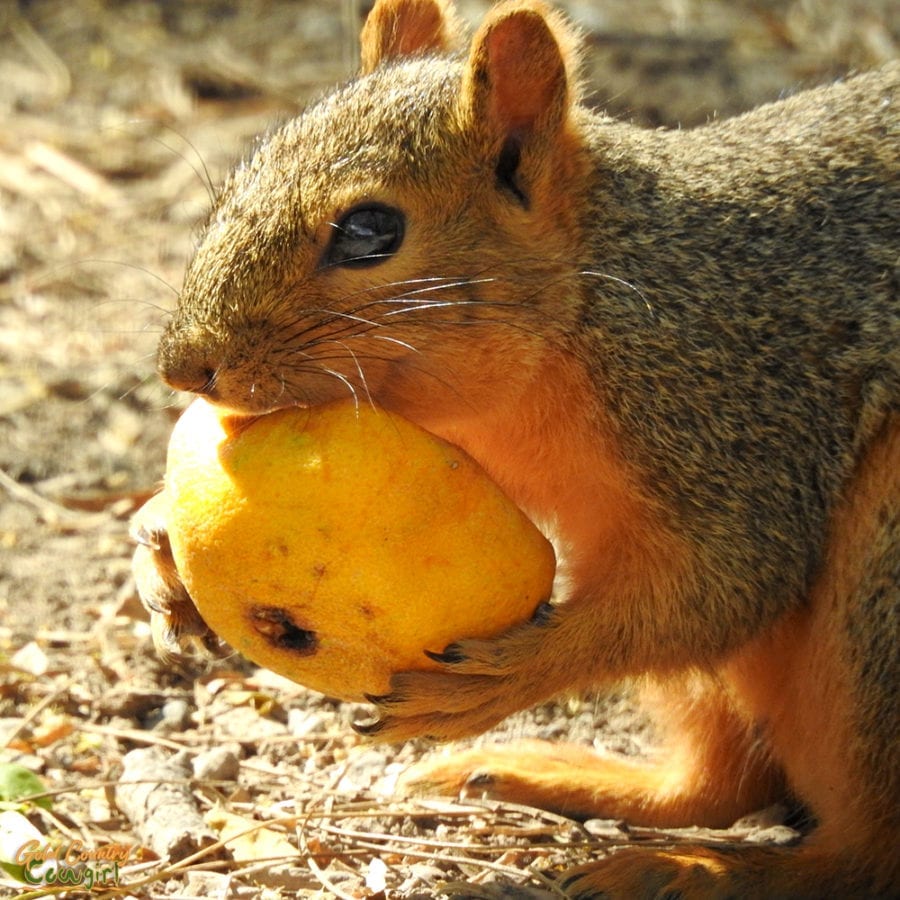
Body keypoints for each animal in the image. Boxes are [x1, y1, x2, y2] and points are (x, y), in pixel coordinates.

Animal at [134, 0, 900, 896]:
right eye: (242, 175)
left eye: (369, 230)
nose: (182, 366)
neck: (582, 308)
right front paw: (155, 539)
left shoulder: (736, 415)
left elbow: (724, 585)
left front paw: (503, 678)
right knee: (721, 784)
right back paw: (566, 778)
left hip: (881, 585)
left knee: (862, 857)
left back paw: (704, 871)